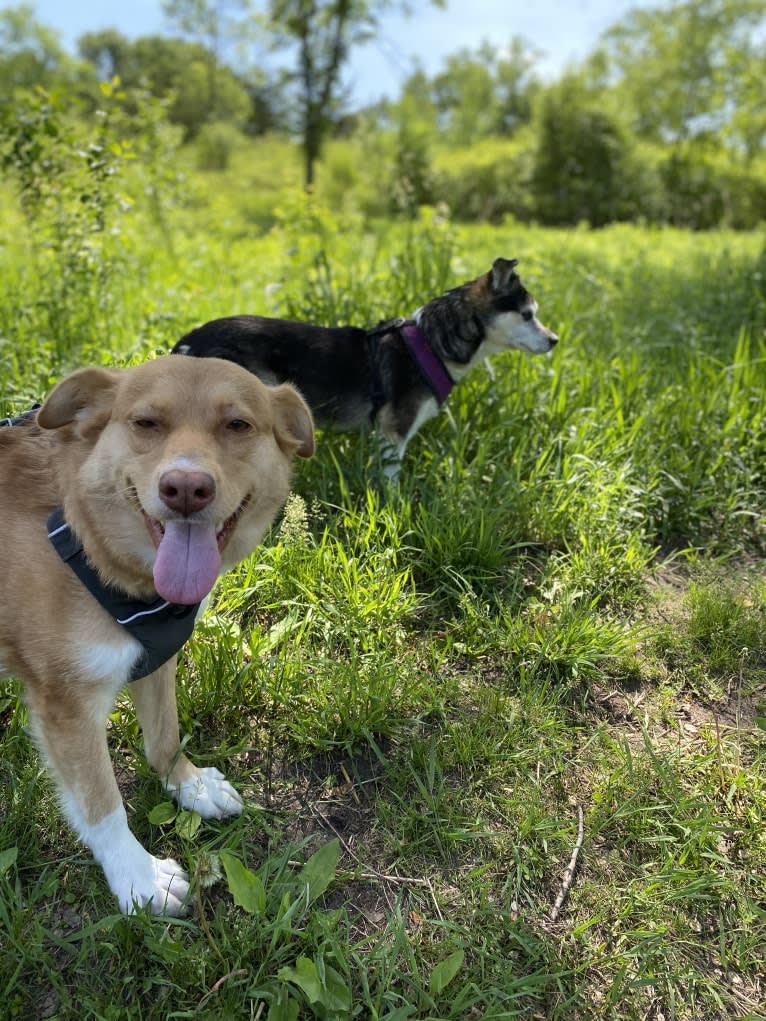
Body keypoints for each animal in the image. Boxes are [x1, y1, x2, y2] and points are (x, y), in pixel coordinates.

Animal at [0, 355, 312, 914]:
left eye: (237, 425)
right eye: (146, 423)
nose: (185, 488)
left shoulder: (158, 659)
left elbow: (165, 738)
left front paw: (189, 786)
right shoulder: (66, 707)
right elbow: (102, 805)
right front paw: (137, 878)